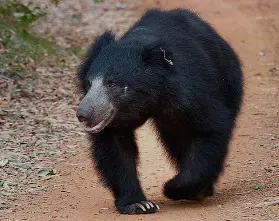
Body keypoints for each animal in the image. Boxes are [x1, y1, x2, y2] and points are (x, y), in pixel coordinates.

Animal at [75, 8, 244, 214]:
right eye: (89, 84)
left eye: (112, 83)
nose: (83, 114)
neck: (151, 96)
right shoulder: (115, 120)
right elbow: (116, 149)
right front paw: (139, 204)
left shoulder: (190, 91)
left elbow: (210, 128)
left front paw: (176, 188)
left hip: (229, 82)